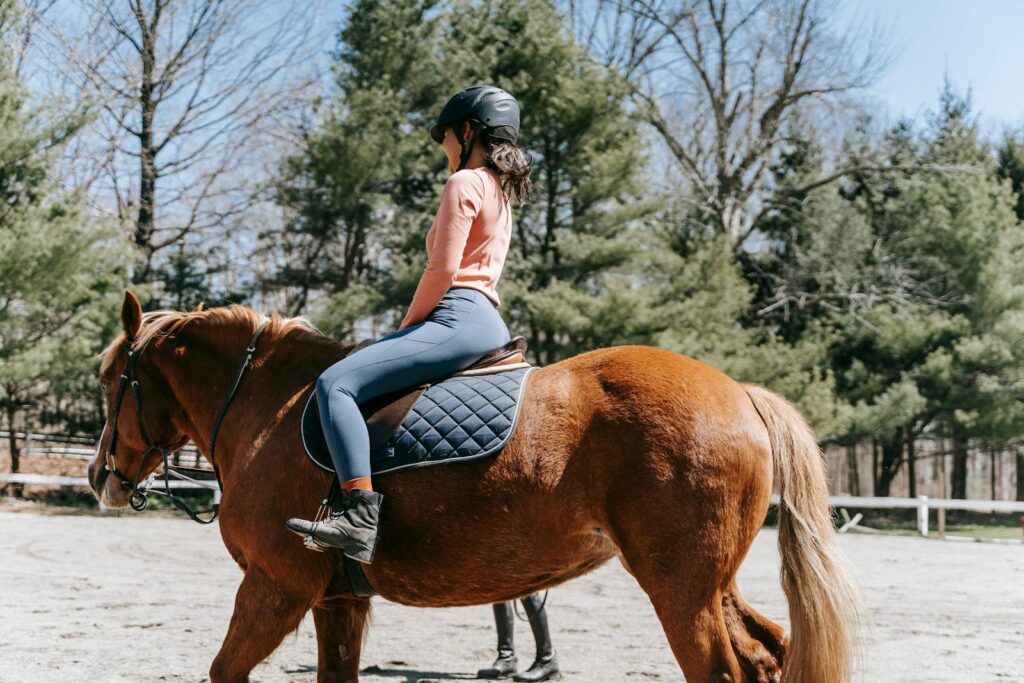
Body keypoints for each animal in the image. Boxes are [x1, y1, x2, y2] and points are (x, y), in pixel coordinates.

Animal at [86, 290, 864, 683]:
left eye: (109, 377)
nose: (100, 478)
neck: (271, 406)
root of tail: (739, 391)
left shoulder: (274, 587)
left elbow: (223, 670)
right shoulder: (338, 601)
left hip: (681, 590)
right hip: (710, 584)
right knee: (769, 653)